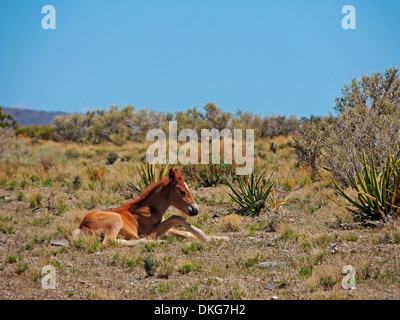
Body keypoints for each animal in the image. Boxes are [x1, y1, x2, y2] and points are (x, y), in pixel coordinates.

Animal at [72, 168, 228, 245]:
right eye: (182, 191)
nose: (195, 210)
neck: (149, 209)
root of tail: (83, 225)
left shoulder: (161, 229)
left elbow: (186, 233)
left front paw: (220, 238)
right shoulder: (152, 231)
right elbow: (176, 217)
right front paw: (205, 237)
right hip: (116, 219)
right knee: (108, 242)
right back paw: (154, 242)